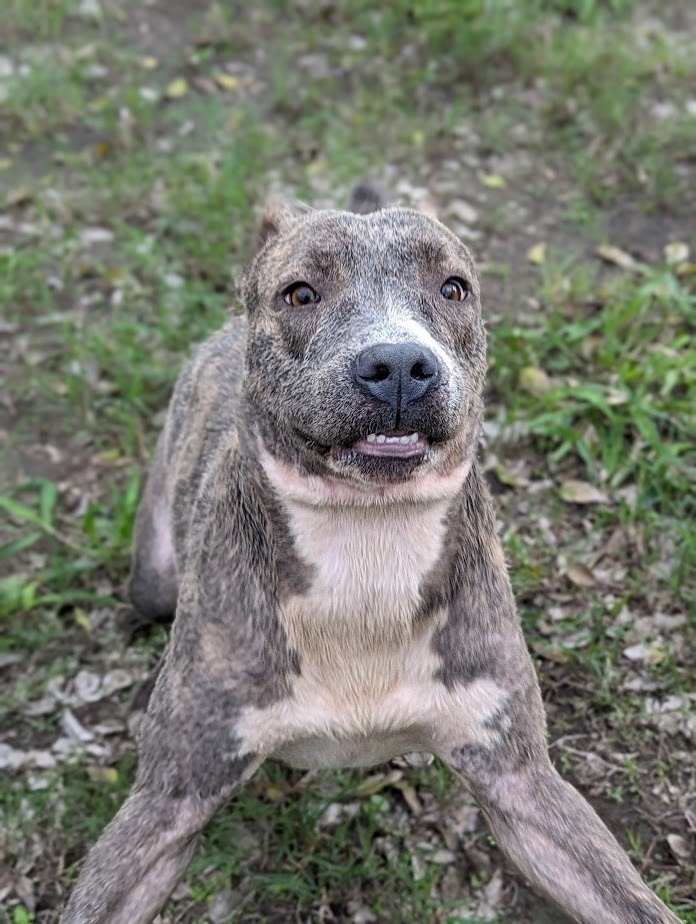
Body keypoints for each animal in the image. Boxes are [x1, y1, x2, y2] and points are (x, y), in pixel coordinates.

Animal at [59, 188, 680, 924]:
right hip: (154, 574)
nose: (402, 365)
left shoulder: (522, 785)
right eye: (300, 293)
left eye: (453, 288)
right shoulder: (170, 801)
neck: (366, 546)